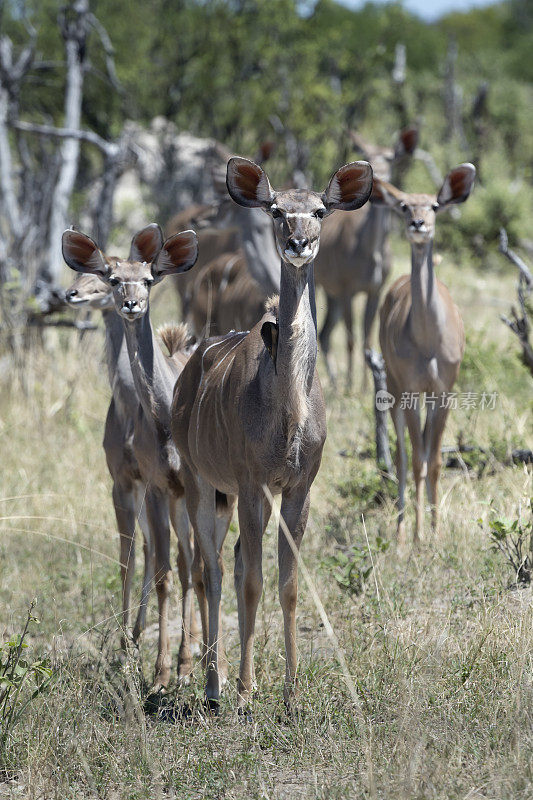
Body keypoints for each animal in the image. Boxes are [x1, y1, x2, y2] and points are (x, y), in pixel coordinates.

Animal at [61, 225, 205, 688]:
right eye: (110, 276)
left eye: (148, 278)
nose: (131, 303)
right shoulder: (146, 484)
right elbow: (153, 567)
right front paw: (153, 667)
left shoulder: (187, 487)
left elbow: (186, 566)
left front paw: (182, 666)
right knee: (168, 558)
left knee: (196, 561)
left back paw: (197, 651)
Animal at [170, 156, 370, 712]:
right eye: (277, 210)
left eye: (320, 210)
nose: (298, 243)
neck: (289, 415)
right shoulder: (255, 481)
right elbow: (255, 582)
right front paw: (244, 693)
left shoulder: (299, 487)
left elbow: (287, 585)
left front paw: (290, 693)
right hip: (200, 482)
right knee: (211, 569)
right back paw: (214, 685)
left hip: (229, 495)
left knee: (232, 561)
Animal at [314, 126, 418, 388]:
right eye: (367, 157)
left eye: (390, 157)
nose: (380, 175)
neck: (371, 254)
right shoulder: (347, 289)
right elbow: (351, 339)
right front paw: (351, 385)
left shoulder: (374, 289)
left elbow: (367, 339)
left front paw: (364, 385)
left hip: (331, 293)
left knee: (325, 332)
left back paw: (334, 380)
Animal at [372, 162, 476, 544]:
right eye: (404, 206)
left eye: (434, 205)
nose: (418, 224)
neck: (429, 342)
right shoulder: (412, 388)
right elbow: (417, 461)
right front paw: (417, 538)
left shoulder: (444, 390)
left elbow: (435, 462)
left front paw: (437, 531)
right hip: (394, 387)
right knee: (402, 458)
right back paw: (402, 531)